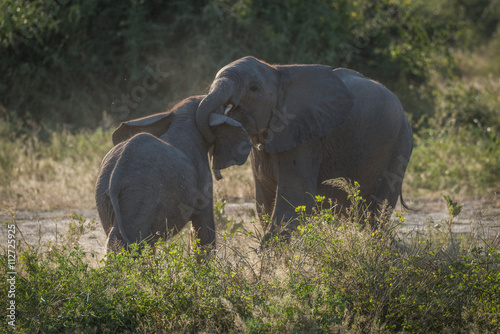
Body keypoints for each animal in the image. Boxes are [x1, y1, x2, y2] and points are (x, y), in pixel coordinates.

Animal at [94, 96, 250, 253]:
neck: (182, 120)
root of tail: (116, 175)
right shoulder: (202, 177)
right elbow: (204, 229)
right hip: (138, 195)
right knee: (131, 236)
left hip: (103, 193)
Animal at [195, 56, 414, 241]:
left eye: (254, 88)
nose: (218, 174)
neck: (277, 71)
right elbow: (264, 203)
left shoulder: (306, 138)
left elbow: (295, 200)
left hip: (398, 148)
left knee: (374, 216)